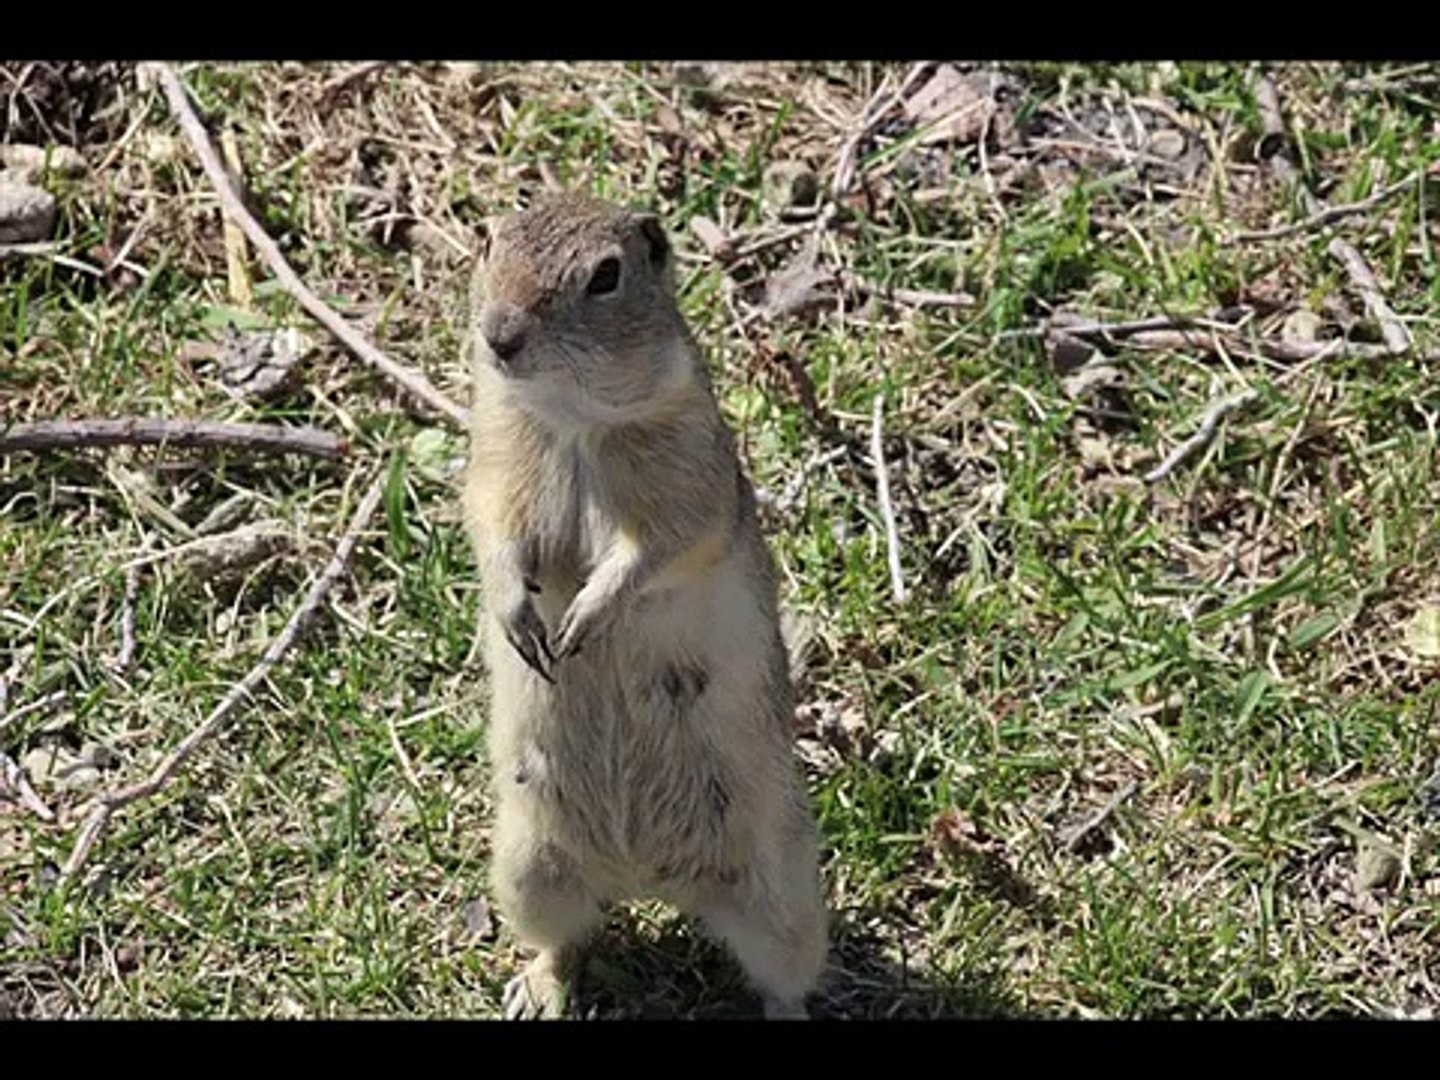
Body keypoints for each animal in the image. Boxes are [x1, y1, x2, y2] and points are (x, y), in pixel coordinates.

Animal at [460, 192, 823, 1025]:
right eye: (489, 242)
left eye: (605, 276)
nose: (499, 336)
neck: (575, 420)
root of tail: (649, 880)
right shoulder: (495, 467)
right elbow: (493, 534)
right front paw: (519, 618)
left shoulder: (689, 487)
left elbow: (656, 552)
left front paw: (584, 621)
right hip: (529, 868)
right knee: (563, 938)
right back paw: (536, 991)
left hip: (785, 895)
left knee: (785, 979)